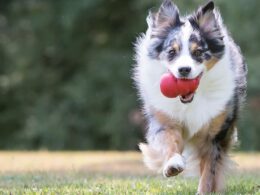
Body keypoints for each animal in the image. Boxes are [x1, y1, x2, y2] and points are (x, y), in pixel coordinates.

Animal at [134, 0, 248, 194]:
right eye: (171, 52)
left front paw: (204, 190)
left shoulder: (214, 135)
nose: (184, 70)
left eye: (198, 52)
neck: (192, 99)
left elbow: (209, 170)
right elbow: (170, 142)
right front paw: (172, 165)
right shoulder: (165, 121)